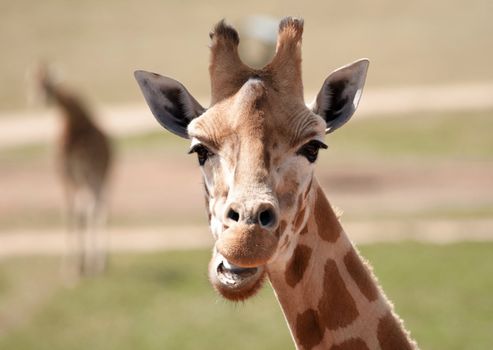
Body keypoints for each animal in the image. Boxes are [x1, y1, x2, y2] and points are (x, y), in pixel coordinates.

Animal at [32, 63, 112, 278]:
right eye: (33, 82)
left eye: (48, 83)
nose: (38, 98)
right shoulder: (63, 172)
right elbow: (69, 211)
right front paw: (71, 268)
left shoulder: (84, 170)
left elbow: (80, 210)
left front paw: (81, 266)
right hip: (88, 178)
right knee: (91, 207)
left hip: (101, 175)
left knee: (98, 207)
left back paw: (98, 263)